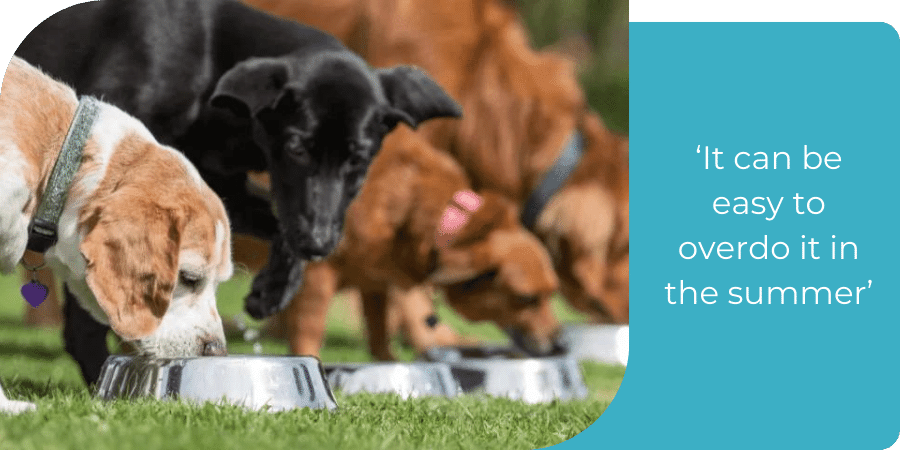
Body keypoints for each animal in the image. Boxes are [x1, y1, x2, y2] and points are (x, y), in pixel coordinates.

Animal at [16, 0, 460, 384]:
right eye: (296, 148)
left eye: (359, 158)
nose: (319, 244)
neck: (209, 67)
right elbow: (95, 301)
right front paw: (100, 373)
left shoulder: (220, 186)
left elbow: (278, 226)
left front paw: (273, 290)